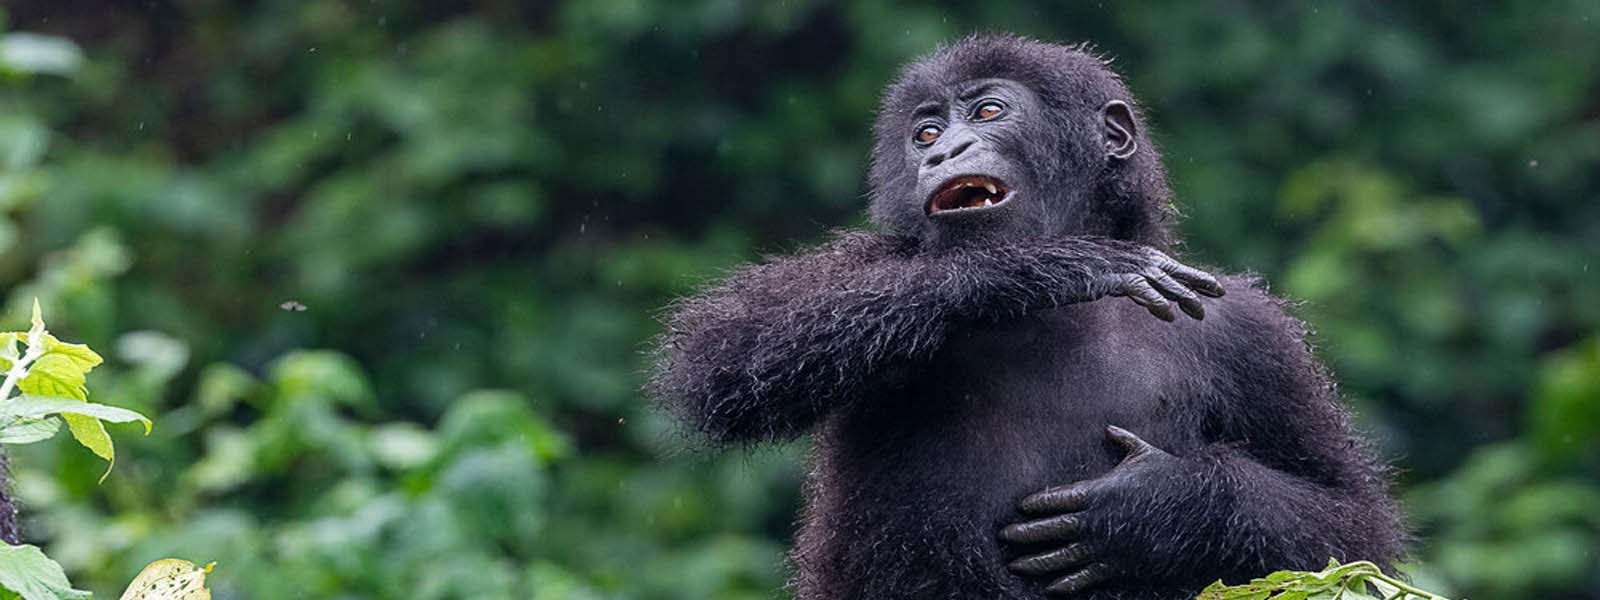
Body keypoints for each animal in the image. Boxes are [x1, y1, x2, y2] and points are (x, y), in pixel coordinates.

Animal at [646, 35, 1401, 598]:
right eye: (925, 131)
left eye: (987, 113)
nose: (942, 151)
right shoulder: (873, 261)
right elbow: (728, 349)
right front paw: (1046, 267)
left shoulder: (1254, 333)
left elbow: (1348, 527)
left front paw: (1164, 503)